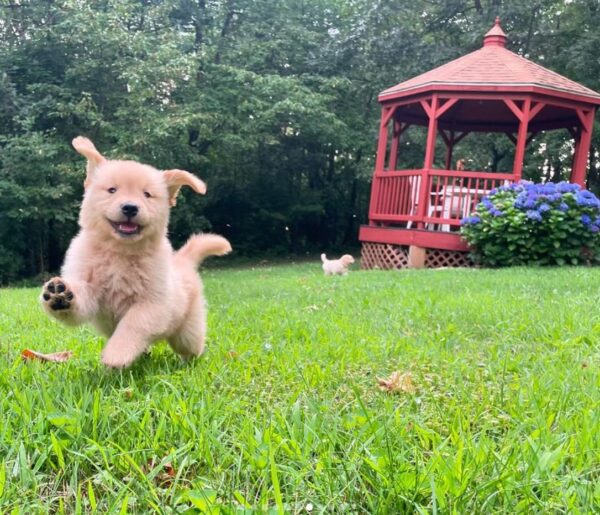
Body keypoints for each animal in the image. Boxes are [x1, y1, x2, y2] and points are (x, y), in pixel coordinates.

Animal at [40, 137, 232, 368]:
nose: (130, 207)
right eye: (112, 190)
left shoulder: (153, 304)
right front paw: (58, 293)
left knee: (192, 347)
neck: (120, 252)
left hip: (188, 332)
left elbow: (133, 324)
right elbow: (81, 300)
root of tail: (182, 262)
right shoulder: (89, 287)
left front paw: (116, 354)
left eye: (147, 194)